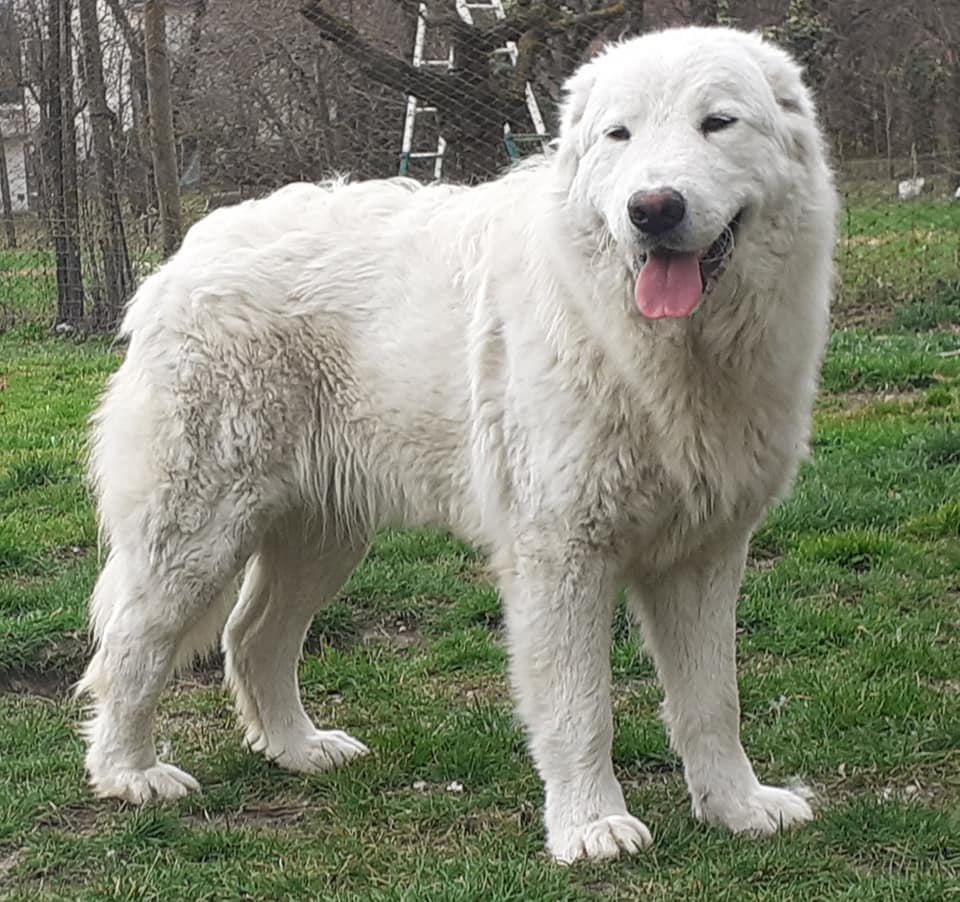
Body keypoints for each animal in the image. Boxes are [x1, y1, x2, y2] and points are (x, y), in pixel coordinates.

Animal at [79, 26, 837, 863]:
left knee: (251, 639)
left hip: (322, 534)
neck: (660, 348)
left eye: (718, 124)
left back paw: (299, 749)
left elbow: (714, 701)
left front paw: (736, 806)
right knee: (130, 647)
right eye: (620, 135)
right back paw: (130, 774)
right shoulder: (561, 554)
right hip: (194, 533)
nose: (652, 209)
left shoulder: (705, 553)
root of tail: (185, 255)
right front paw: (590, 826)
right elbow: (582, 708)